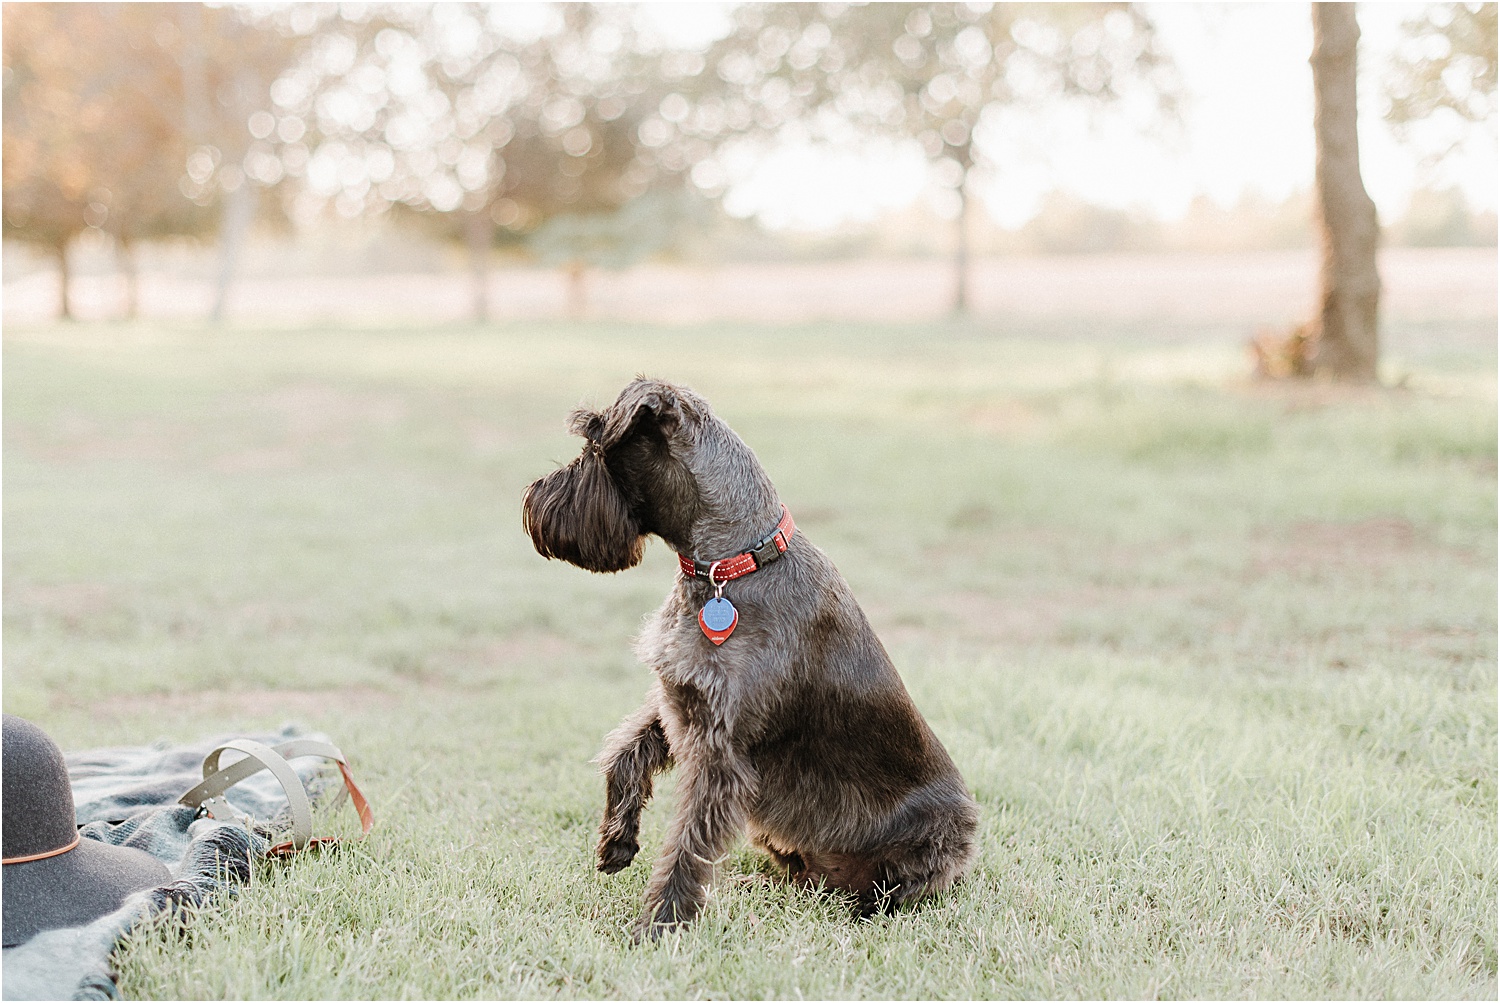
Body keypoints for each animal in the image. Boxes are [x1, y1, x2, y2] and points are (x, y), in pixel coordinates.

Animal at [522, 377, 978, 941]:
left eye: (592, 446)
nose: (532, 498)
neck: (731, 566)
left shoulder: (721, 750)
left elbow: (688, 844)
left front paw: (660, 925)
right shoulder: (680, 702)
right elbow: (625, 755)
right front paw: (617, 843)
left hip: (933, 842)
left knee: (888, 890)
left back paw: (860, 910)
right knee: (800, 878)